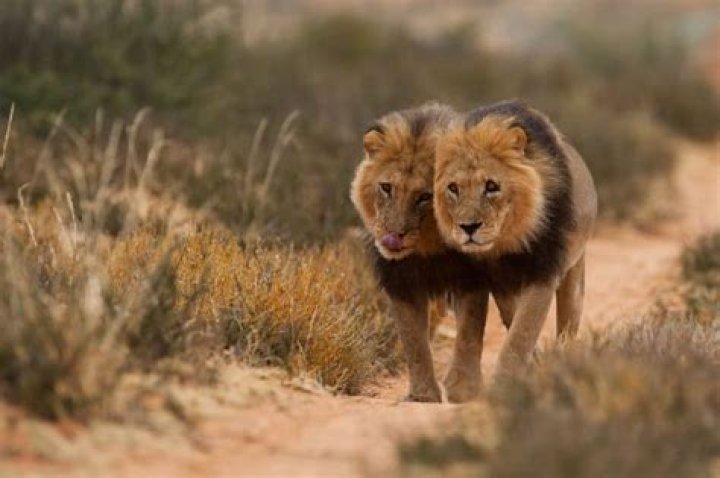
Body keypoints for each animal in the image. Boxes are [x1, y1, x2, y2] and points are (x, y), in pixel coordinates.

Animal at [350, 102, 490, 403]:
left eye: (425, 197)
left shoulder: (471, 280)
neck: (428, 248)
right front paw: (423, 395)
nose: (393, 235)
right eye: (386, 187)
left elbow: (470, 333)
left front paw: (464, 389)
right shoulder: (401, 283)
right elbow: (414, 340)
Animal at [434, 100, 598, 375]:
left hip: (575, 270)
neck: (507, 242)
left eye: (491, 186)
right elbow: (504, 325)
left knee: (568, 321)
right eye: (453, 188)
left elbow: (522, 332)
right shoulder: (488, 279)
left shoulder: (544, 271)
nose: (468, 227)